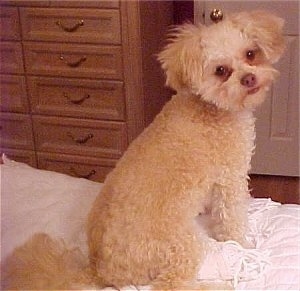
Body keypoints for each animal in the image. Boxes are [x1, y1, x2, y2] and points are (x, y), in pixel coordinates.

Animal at [1, 10, 284, 290]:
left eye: (251, 54)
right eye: (221, 71)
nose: (249, 78)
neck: (210, 107)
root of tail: (99, 271)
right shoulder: (230, 177)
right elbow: (232, 218)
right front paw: (243, 244)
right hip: (182, 245)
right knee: (170, 284)